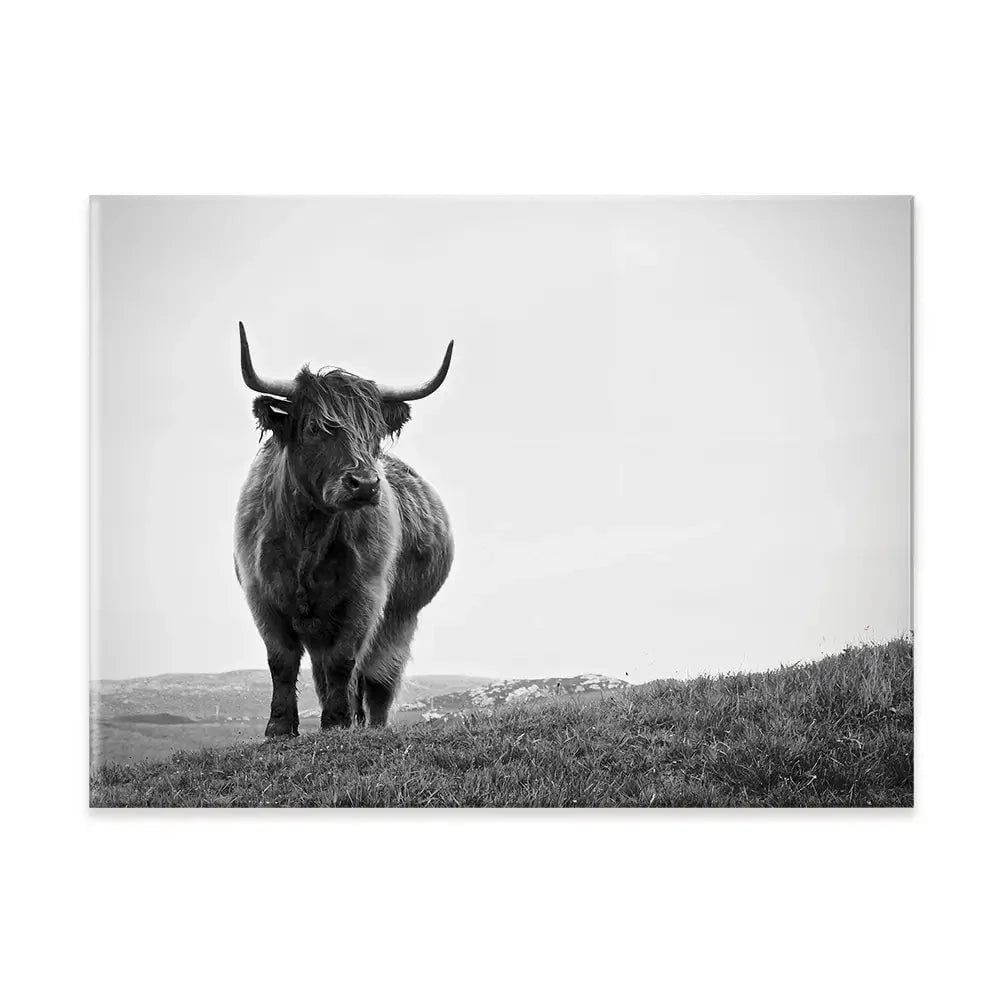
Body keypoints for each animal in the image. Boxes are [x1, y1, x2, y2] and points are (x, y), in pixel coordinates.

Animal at [233, 322, 455, 735]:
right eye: (315, 428)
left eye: (374, 433)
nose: (365, 484)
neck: (308, 534)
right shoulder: (262, 596)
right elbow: (281, 661)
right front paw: (279, 728)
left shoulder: (365, 597)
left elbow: (344, 662)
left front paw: (336, 723)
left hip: (400, 619)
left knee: (378, 679)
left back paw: (370, 724)